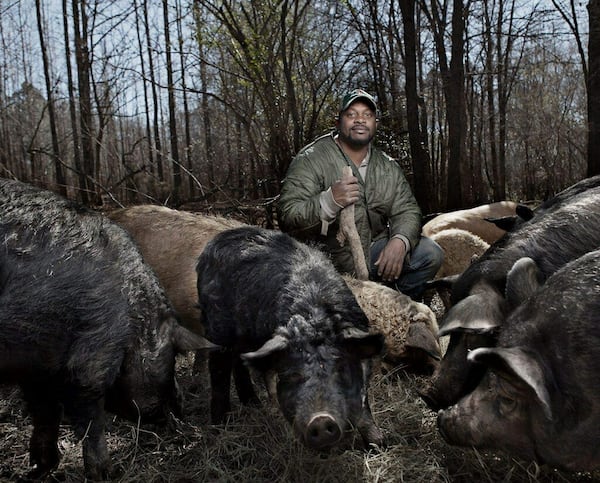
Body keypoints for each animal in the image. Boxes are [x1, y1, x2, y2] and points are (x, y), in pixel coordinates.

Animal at [0, 180, 216, 482]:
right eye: (172, 358)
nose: (181, 411)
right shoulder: (95, 349)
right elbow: (90, 415)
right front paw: (106, 473)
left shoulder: (36, 368)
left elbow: (46, 412)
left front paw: (38, 470)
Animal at [196, 227, 384, 450]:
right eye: (294, 375)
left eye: (341, 368)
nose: (321, 419)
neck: (314, 312)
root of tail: (216, 241)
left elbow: (364, 405)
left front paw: (378, 444)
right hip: (216, 326)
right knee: (219, 370)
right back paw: (219, 427)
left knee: (239, 362)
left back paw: (254, 404)